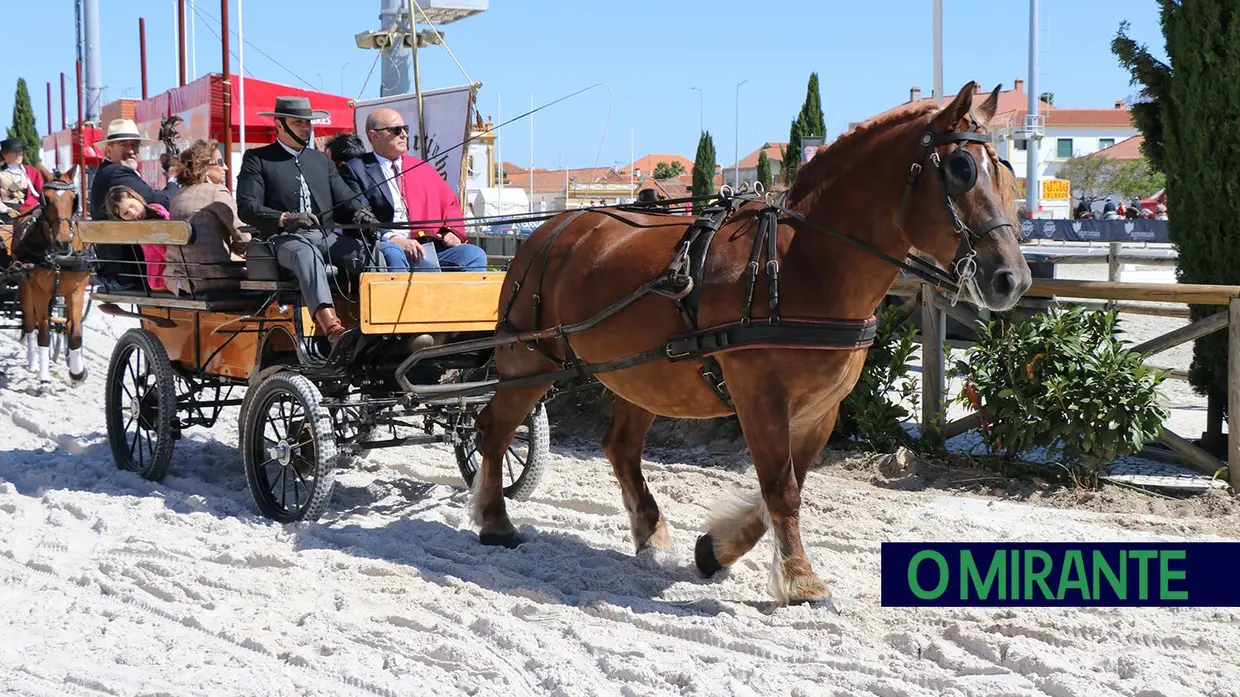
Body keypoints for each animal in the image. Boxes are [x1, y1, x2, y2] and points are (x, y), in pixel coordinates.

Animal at [13, 164, 89, 381]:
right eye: (46, 199)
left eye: (74, 199)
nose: (63, 242)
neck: (60, 258)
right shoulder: (40, 291)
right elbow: (44, 333)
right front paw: (44, 376)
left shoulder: (77, 291)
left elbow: (74, 331)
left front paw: (77, 372)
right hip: (25, 287)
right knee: (31, 324)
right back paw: (33, 363)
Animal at [468, 81, 1031, 602]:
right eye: (961, 169)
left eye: (1006, 172)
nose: (1014, 279)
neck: (801, 265)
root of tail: (549, 231)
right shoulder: (759, 396)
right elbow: (780, 488)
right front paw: (801, 580)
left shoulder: (820, 409)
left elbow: (784, 488)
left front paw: (715, 551)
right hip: (528, 362)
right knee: (492, 429)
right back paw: (495, 520)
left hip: (641, 374)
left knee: (620, 448)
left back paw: (650, 532)